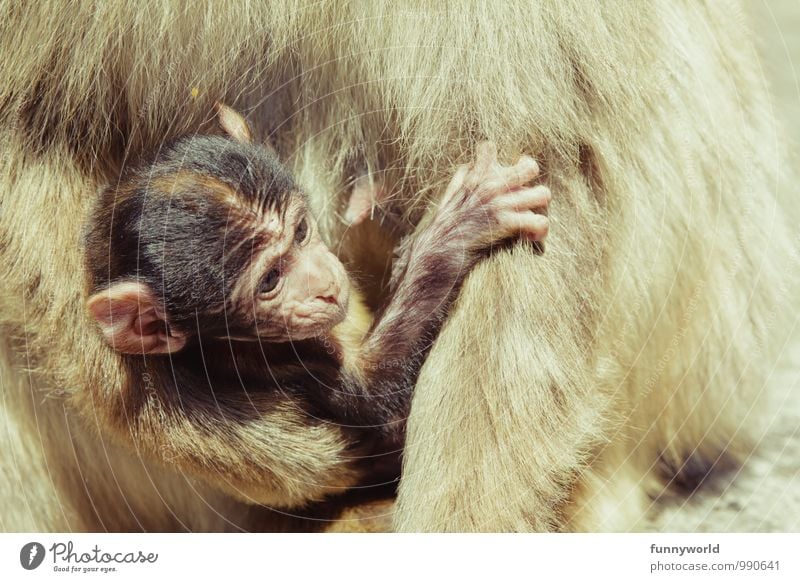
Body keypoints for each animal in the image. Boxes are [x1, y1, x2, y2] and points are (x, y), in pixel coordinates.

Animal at [86, 105, 552, 442]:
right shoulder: (283, 358)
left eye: (301, 232)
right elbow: (381, 399)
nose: (325, 286)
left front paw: (377, 210)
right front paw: (463, 222)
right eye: (270, 280)